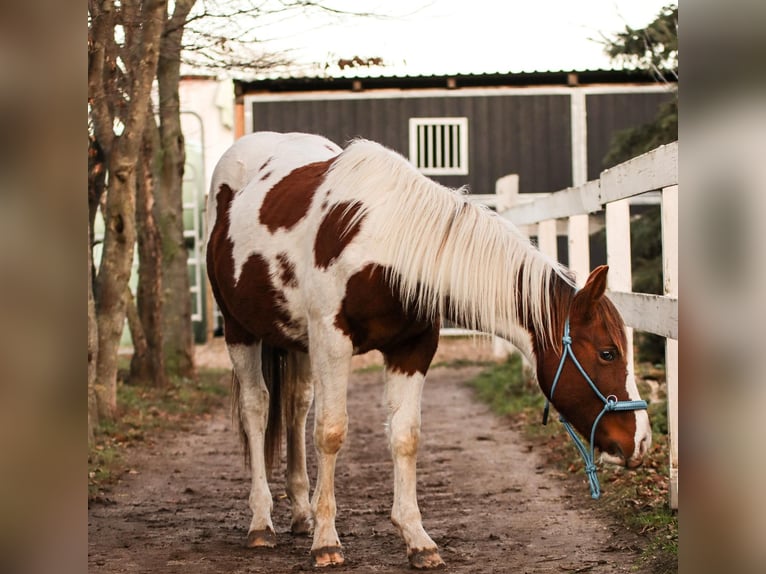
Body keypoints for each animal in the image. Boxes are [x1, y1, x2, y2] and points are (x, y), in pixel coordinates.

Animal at [205, 131, 652, 569]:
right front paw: (327, 541)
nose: (643, 441)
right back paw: (261, 522)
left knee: (296, 409)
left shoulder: (412, 349)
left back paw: (301, 513)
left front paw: (416, 539)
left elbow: (406, 436)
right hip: (240, 331)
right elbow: (331, 432)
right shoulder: (331, 341)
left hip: (295, 340)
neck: (385, 243)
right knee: (257, 409)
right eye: (608, 353)